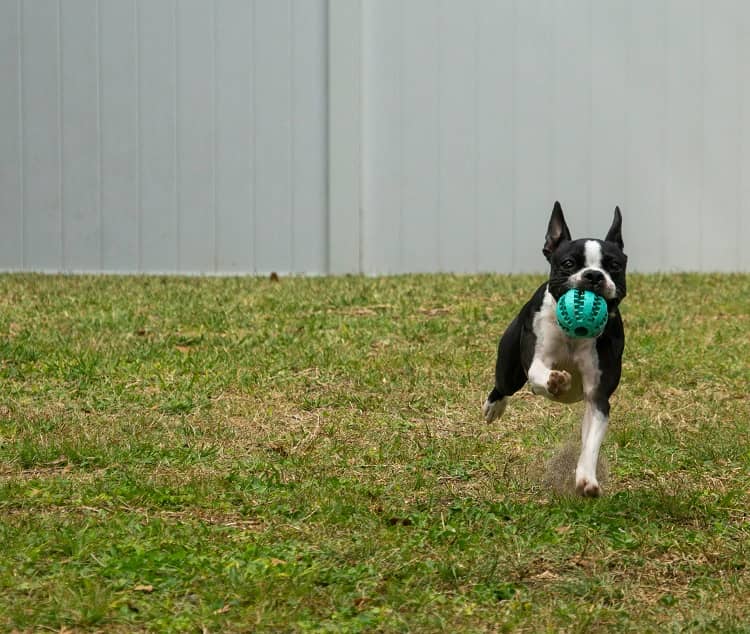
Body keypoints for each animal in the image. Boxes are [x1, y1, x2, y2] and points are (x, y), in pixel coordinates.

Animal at [482, 200, 628, 496]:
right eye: (568, 264)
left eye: (614, 265)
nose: (594, 275)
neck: (573, 335)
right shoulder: (536, 361)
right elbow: (540, 373)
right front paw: (556, 380)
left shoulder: (597, 397)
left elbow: (591, 444)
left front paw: (587, 479)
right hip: (510, 370)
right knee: (503, 386)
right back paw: (494, 406)